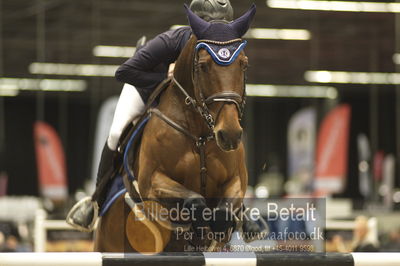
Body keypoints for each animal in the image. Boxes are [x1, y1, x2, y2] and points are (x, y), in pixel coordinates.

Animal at [94, 4, 256, 254]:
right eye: (203, 66)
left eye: (244, 64)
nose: (229, 134)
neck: (200, 134)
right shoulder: (152, 182)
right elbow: (194, 200)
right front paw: (192, 226)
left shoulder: (236, 181)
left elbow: (223, 212)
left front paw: (210, 233)